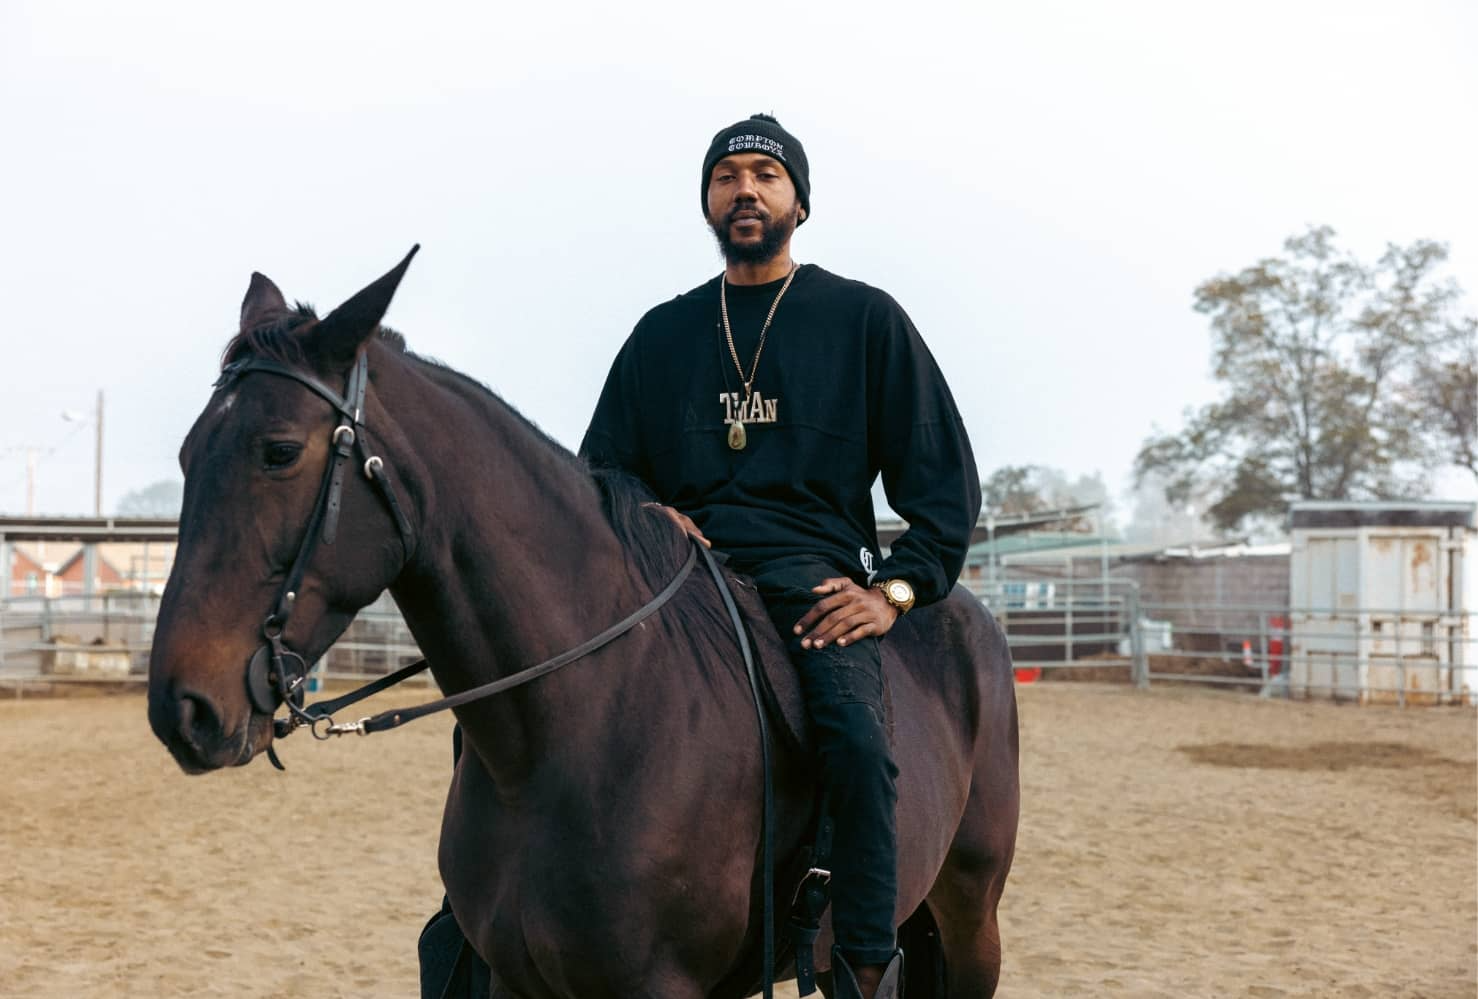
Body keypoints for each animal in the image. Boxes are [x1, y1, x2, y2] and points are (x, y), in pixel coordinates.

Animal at [144, 251, 1016, 999]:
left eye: (280, 450)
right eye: (186, 455)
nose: (182, 707)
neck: (578, 727)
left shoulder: (660, 984)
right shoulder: (514, 977)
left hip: (968, 920)